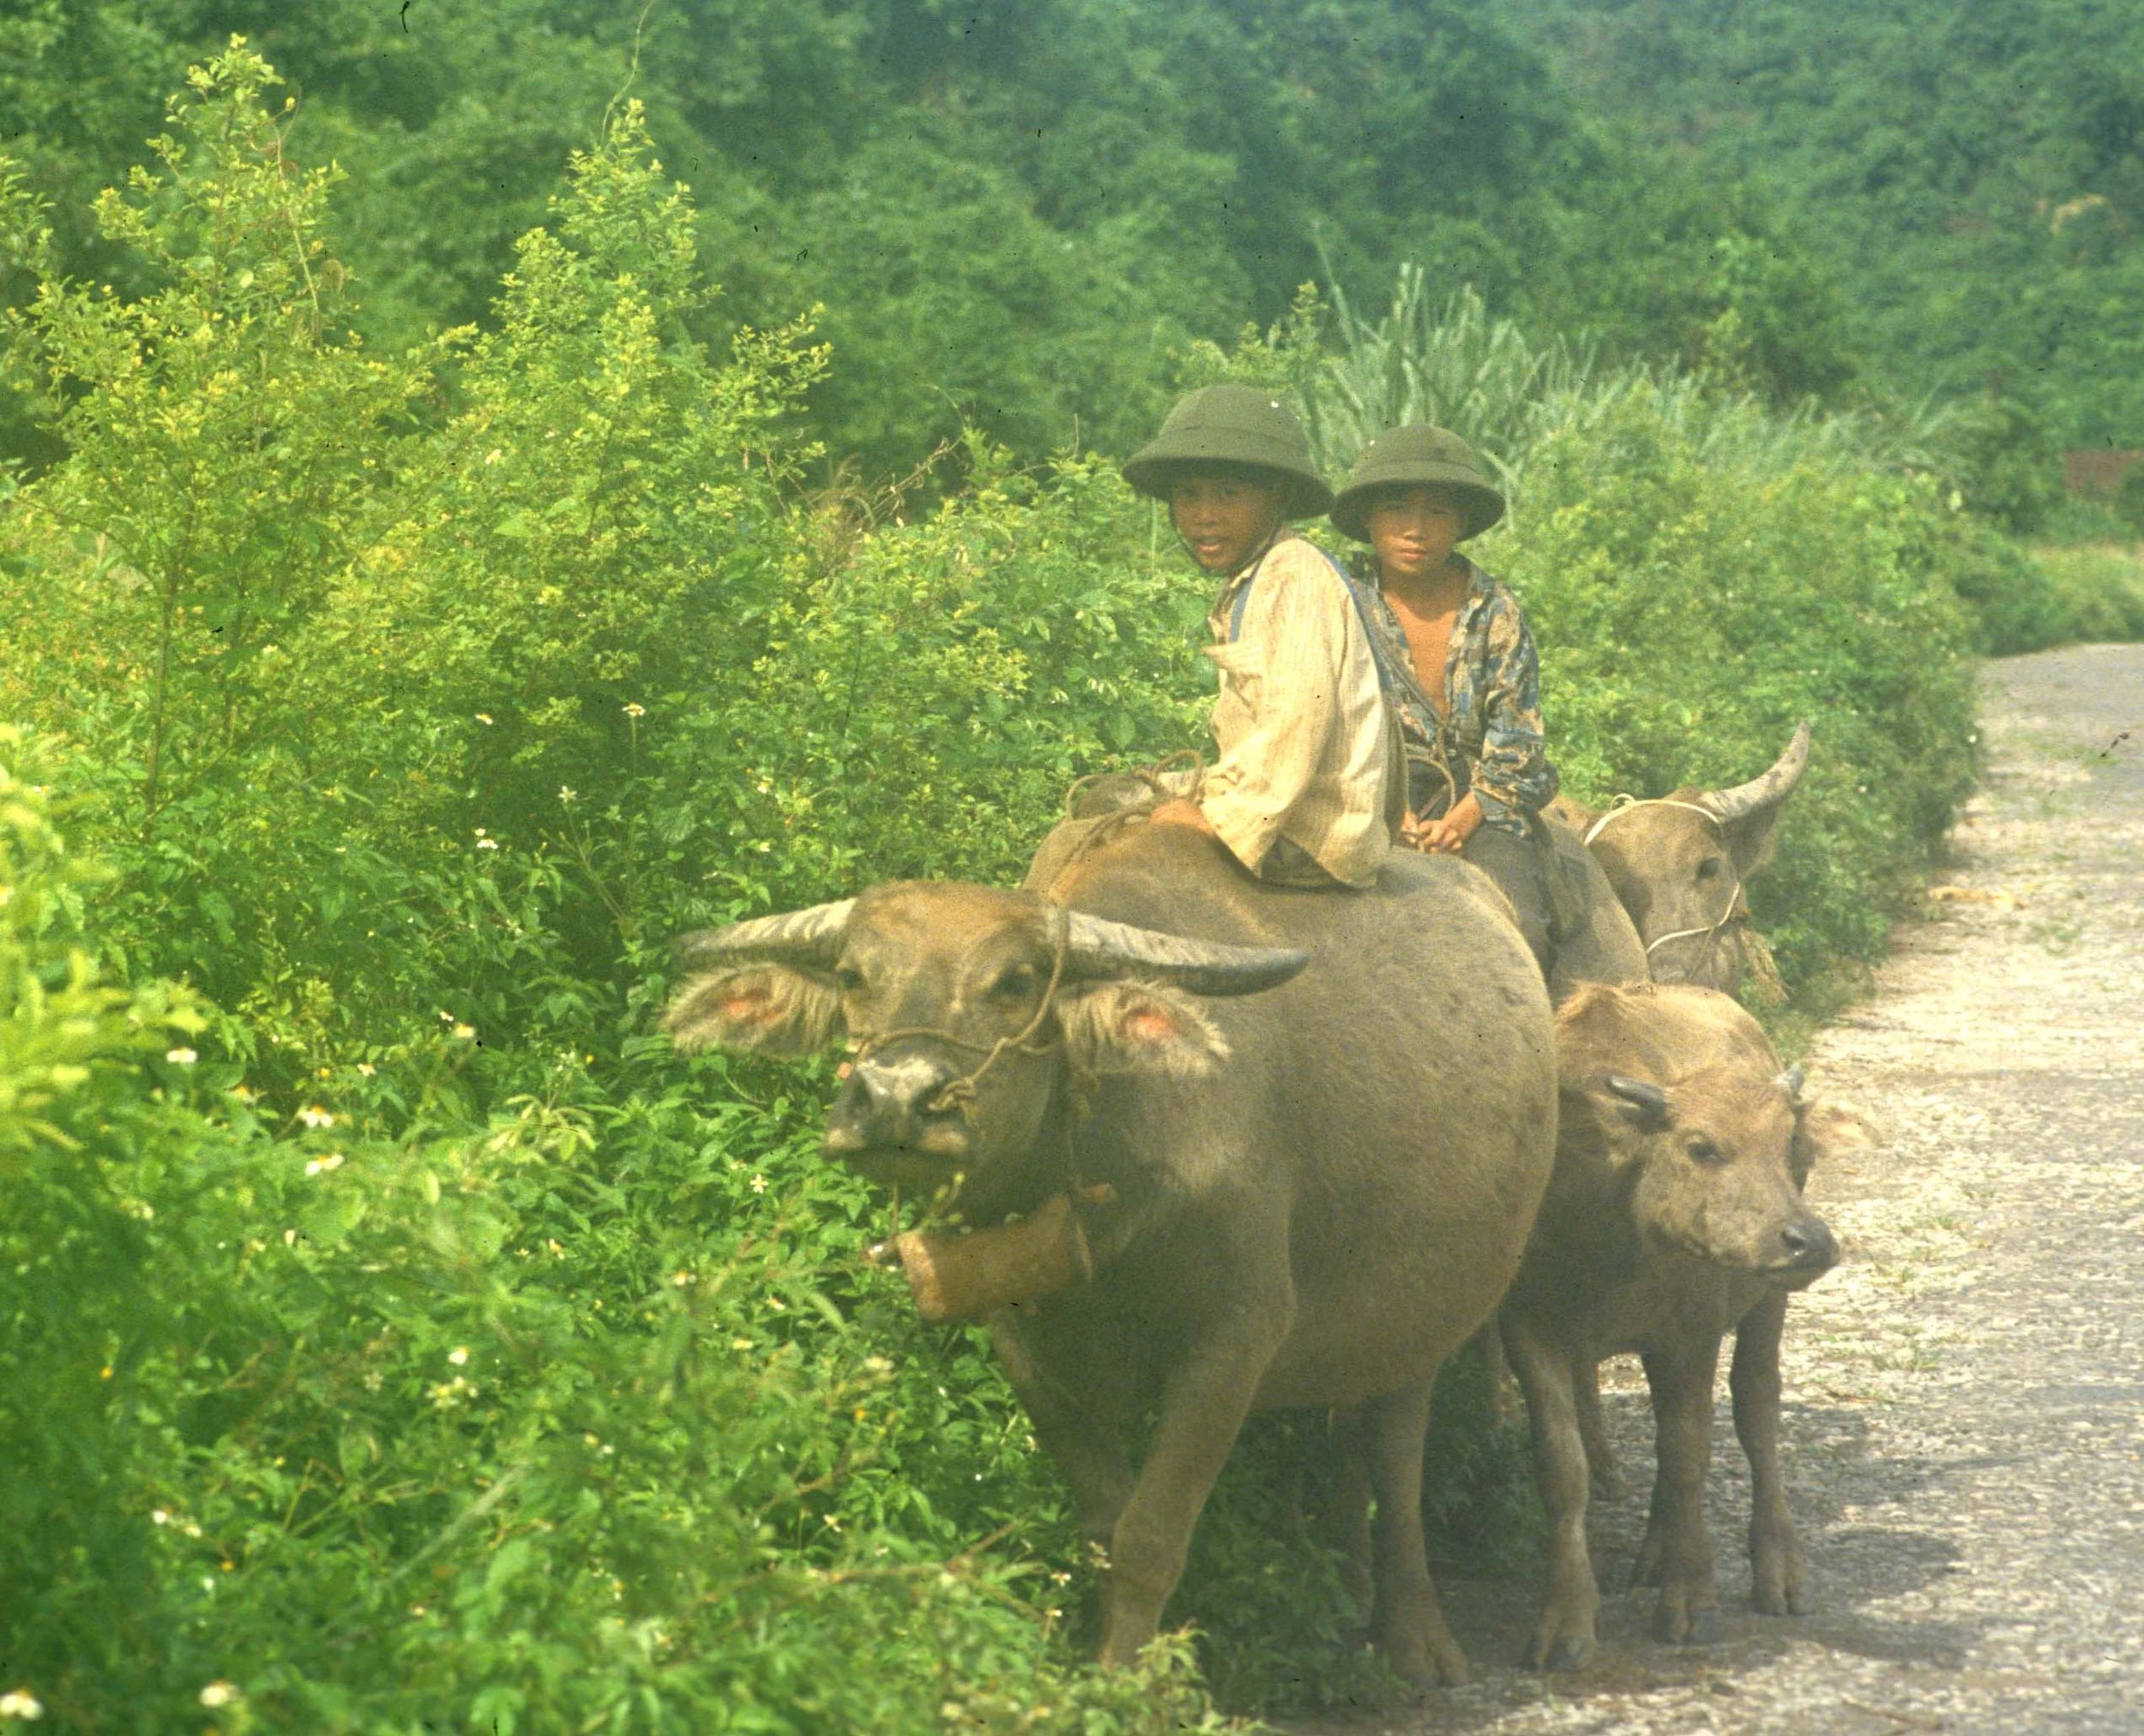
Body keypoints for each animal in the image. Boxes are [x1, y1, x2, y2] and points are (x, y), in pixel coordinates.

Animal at [664, 820, 1558, 1682]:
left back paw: (1418, 1643)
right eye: (854, 976)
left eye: (1016, 982)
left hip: (1428, 1320)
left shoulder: (1234, 1343)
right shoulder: (1025, 1348)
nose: (892, 1099)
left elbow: (1150, 1537)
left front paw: (1128, 1683)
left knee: (1397, 1461)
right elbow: (1103, 1525)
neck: (1106, 1168)